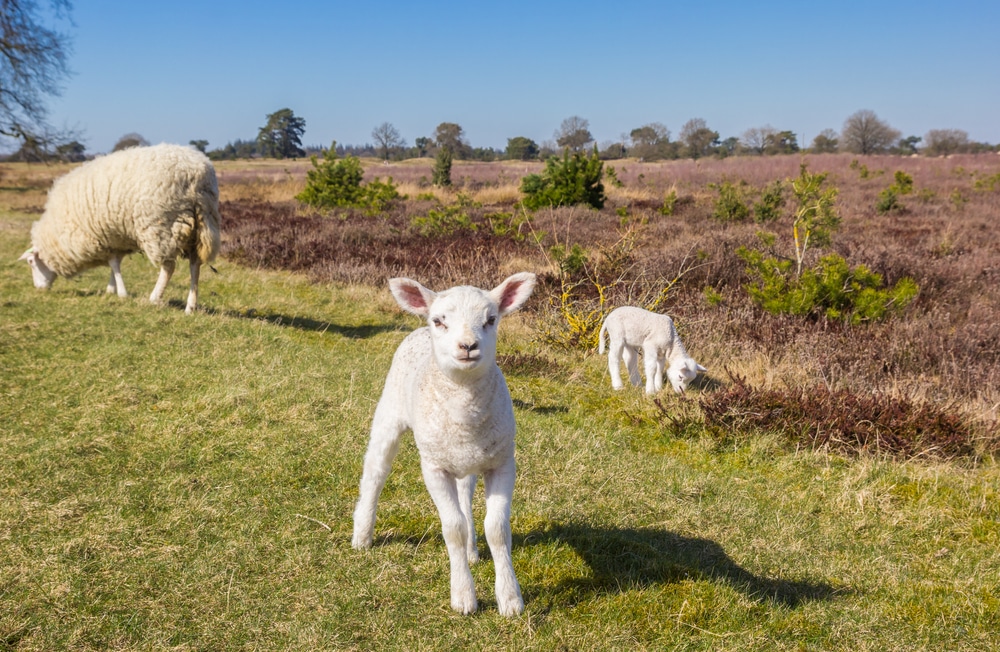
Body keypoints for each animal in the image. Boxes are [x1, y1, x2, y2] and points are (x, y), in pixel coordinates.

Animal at [18, 143, 223, 316]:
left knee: (168, 266)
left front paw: (120, 292)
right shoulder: (115, 238)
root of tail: (198, 174)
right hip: (201, 225)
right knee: (195, 265)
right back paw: (190, 307)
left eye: (31, 262)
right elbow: (115, 263)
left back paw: (154, 297)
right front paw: (112, 288)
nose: (39, 288)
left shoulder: (102, 237)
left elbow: (114, 264)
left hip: (162, 226)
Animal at [354, 272, 540, 616]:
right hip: (389, 415)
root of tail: (417, 329)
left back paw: (471, 552)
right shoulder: (434, 467)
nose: (468, 346)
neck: (465, 407)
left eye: (491, 319)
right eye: (440, 321)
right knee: (375, 473)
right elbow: (452, 528)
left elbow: (497, 529)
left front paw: (510, 599)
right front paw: (463, 598)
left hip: (466, 459)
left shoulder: (502, 462)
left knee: (465, 496)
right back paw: (362, 536)